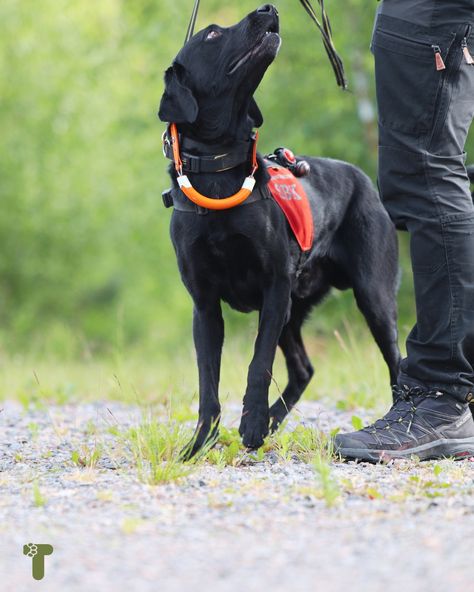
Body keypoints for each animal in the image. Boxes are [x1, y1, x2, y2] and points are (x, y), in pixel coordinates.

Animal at [158, 5, 400, 458]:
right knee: (304, 369)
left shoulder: (273, 289)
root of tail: (362, 178)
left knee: (396, 360)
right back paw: (272, 421)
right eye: (212, 34)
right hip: (294, 309)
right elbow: (207, 382)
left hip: (371, 298)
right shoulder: (205, 305)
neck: (219, 173)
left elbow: (258, 363)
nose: (267, 9)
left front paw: (250, 426)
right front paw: (200, 444)